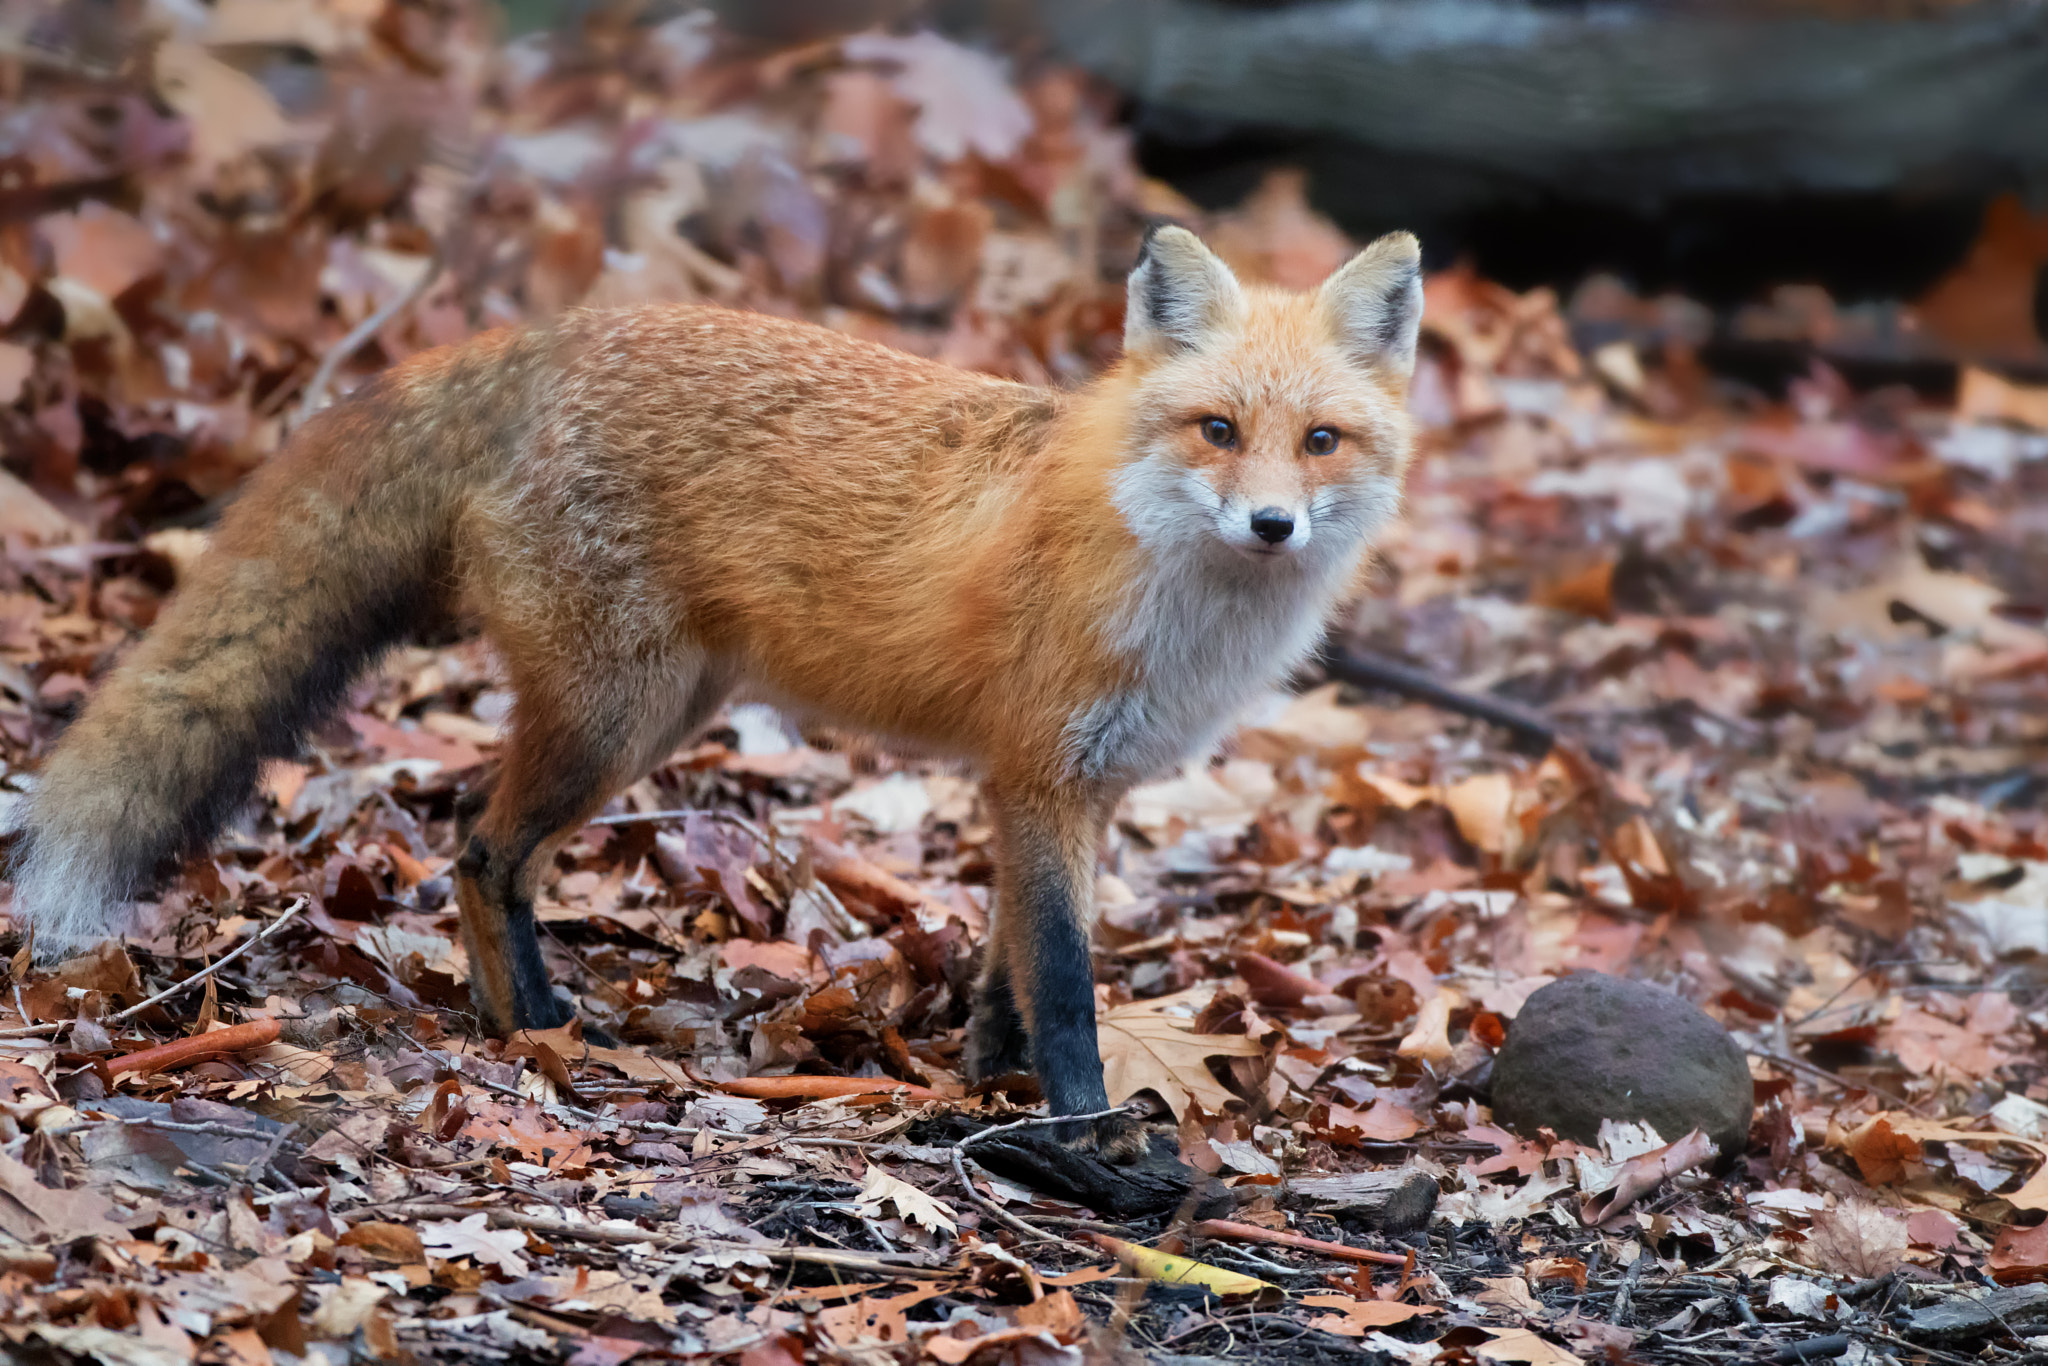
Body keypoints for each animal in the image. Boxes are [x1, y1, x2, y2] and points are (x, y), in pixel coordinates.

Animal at [8, 227, 1417, 1155]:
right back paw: (529, 1029)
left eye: (1319, 442)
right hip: (610, 719)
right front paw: (1083, 1135)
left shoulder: (1072, 788)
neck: (1171, 592)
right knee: (475, 844)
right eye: (1216, 431)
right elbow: (1065, 981)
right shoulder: (1037, 770)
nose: (1274, 524)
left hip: (654, 713)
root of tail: (552, 335)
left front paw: (986, 1083)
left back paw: (519, 1013)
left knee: (483, 845)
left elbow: (1006, 966)